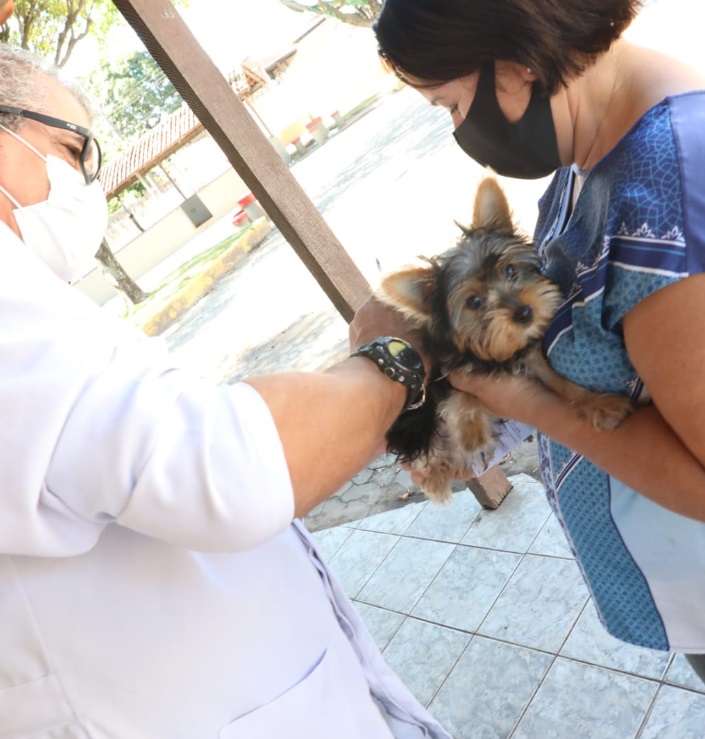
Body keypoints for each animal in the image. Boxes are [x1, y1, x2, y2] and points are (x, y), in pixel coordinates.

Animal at [378, 176, 633, 504]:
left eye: (510, 270)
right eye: (473, 301)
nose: (525, 312)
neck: (496, 351)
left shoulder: (531, 355)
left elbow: (561, 383)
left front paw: (597, 403)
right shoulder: (447, 372)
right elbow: (459, 397)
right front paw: (471, 433)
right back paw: (435, 477)